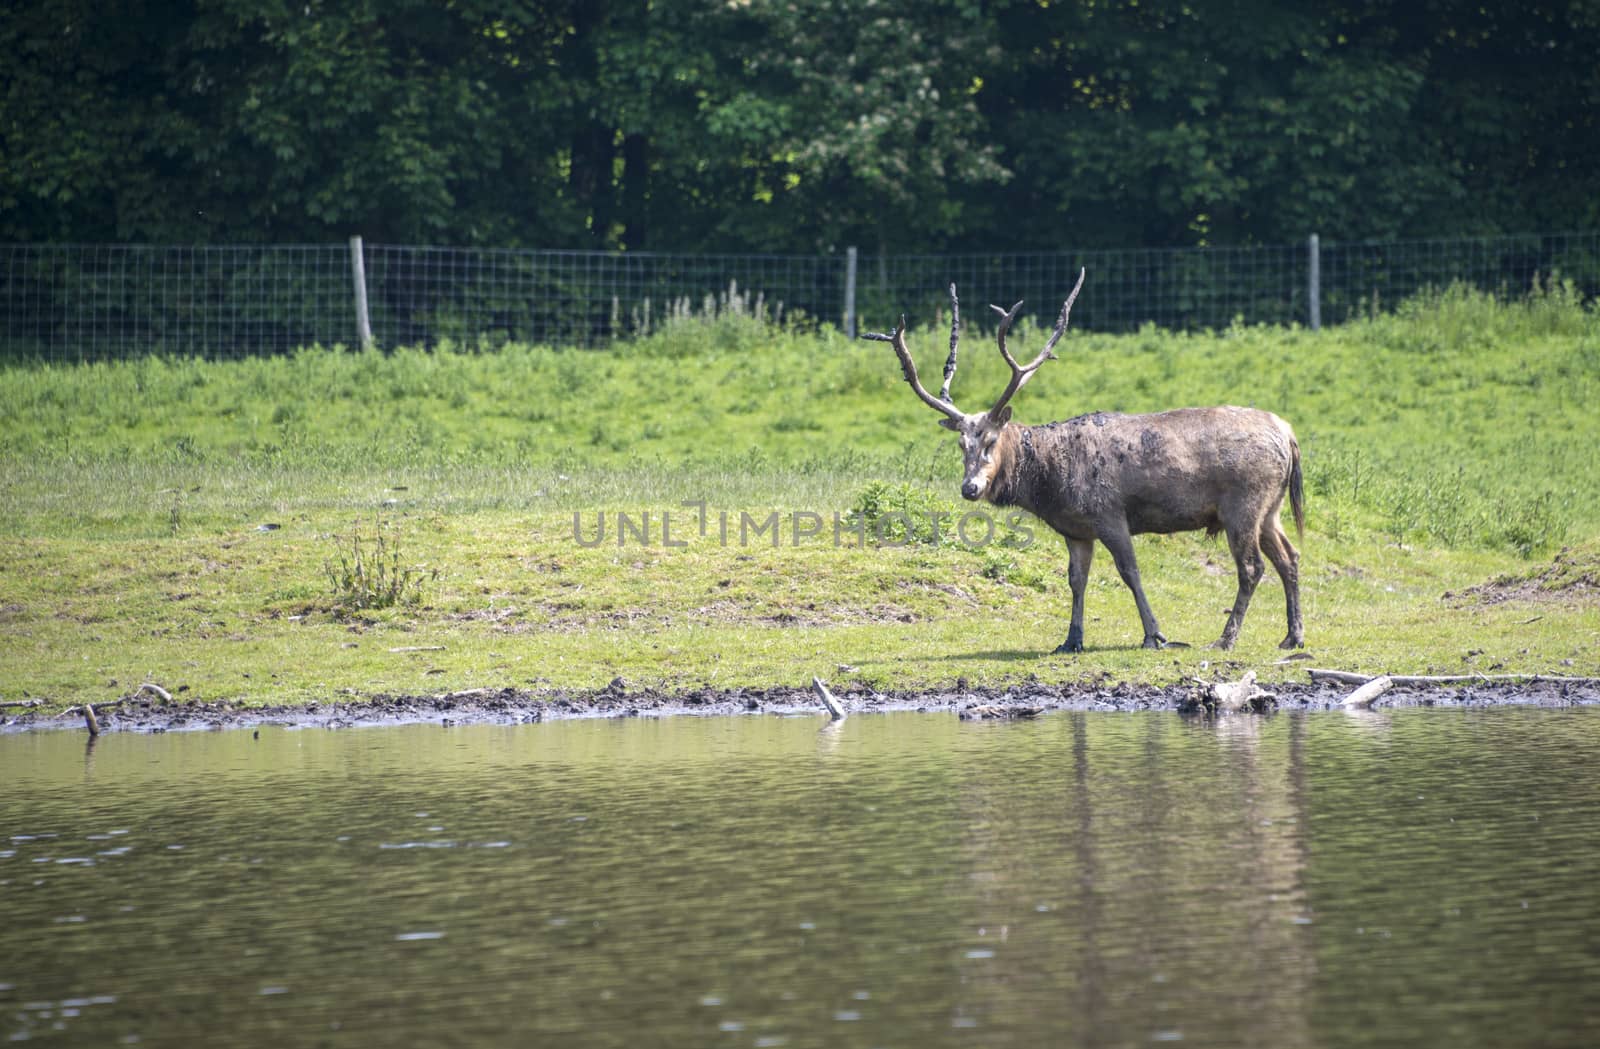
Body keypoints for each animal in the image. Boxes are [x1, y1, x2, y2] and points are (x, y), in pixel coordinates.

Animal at [864, 267, 1299, 652]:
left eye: (990, 439)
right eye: (961, 444)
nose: (970, 488)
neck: (1051, 486)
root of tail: (1288, 434)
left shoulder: (1109, 513)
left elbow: (1130, 572)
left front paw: (1155, 635)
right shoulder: (1075, 530)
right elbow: (1076, 580)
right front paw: (1071, 640)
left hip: (1243, 503)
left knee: (1252, 567)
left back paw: (1226, 639)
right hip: (1271, 509)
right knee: (1289, 557)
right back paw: (1292, 637)